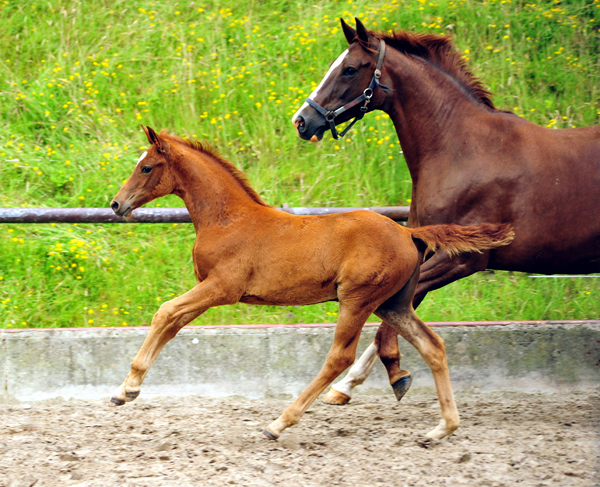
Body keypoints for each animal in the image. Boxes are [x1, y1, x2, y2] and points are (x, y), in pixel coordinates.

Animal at [108, 127, 510, 442]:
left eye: (146, 167)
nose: (116, 204)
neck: (227, 219)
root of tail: (410, 233)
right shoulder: (209, 290)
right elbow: (173, 323)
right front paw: (127, 390)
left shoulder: (222, 287)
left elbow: (164, 313)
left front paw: (126, 388)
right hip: (392, 303)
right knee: (433, 346)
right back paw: (441, 429)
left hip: (357, 299)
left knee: (340, 357)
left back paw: (279, 423)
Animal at [292, 19, 600, 406]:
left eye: (349, 69)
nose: (302, 121)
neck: (463, 151)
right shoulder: (422, 252)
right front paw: (349, 385)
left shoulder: (463, 259)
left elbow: (394, 315)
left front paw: (391, 374)